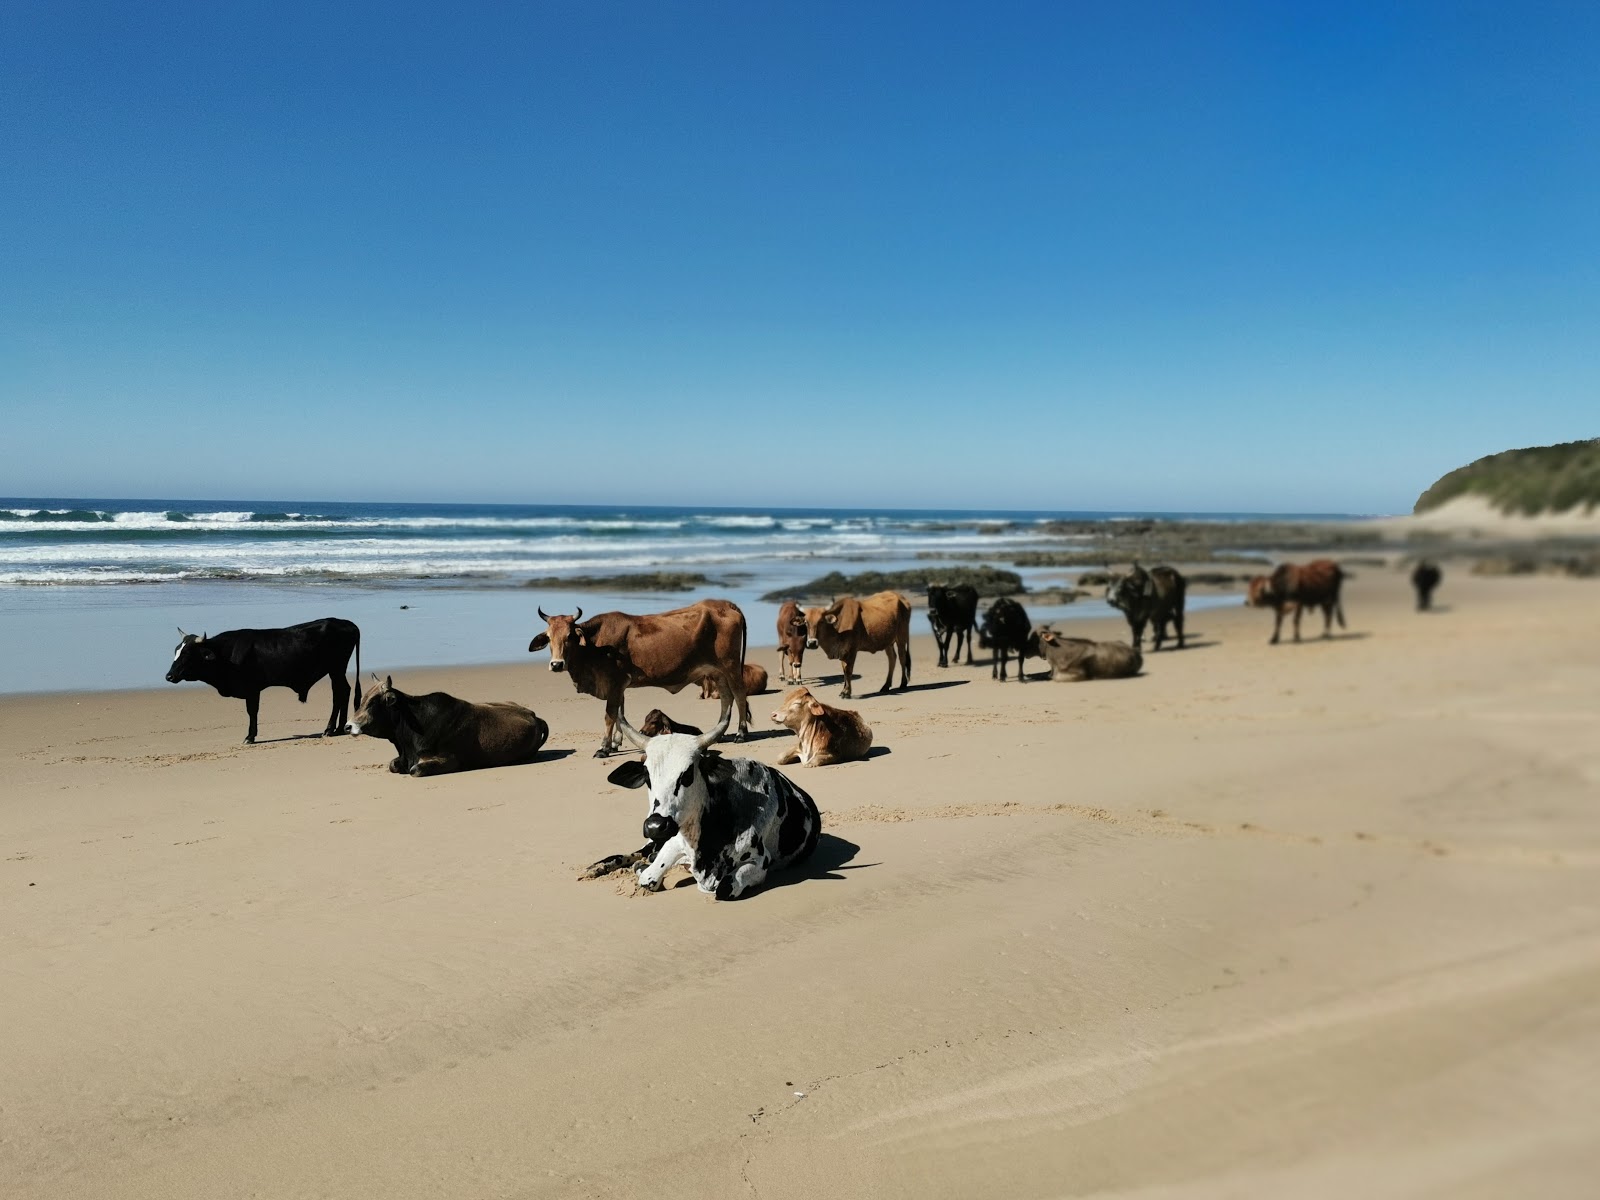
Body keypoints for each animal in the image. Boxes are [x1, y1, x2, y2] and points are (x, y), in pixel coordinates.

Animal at [163, 620, 363, 742]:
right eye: (176, 651)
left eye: (187, 655)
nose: (169, 676)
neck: (225, 654)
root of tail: (347, 623)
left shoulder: (252, 689)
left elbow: (252, 712)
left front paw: (250, 737)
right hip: (336, 670)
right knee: (343, 692)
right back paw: (338, 728)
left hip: (336, 668)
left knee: (340, 693)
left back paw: (330, 729)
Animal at [350, 678, 550, 780]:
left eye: (373, 702)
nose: (348, 725)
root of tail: (534, 716)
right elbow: (393, 765)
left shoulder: (450, 760)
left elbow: (416, 770)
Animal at [524, 598, 748, 755]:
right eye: (549, 637)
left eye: (569, 636)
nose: (556, 664)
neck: (596, 645)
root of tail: (726, 604)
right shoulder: (619, 686)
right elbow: (619, 713)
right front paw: (615, 742)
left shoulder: (615, 683)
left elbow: (610, 715)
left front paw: (604, 747)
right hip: (718, 673)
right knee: (726, 699)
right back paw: (719, 733)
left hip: (731, 666)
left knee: (739, 696)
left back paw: (741, 733)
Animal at [582, 704, 819, 902]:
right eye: (647, 776)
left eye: (687, 774)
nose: (656, 826)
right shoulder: (672, 844)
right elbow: (647, 876)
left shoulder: (759, 863)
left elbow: (723, 889)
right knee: (638, 853)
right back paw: (597, 867)